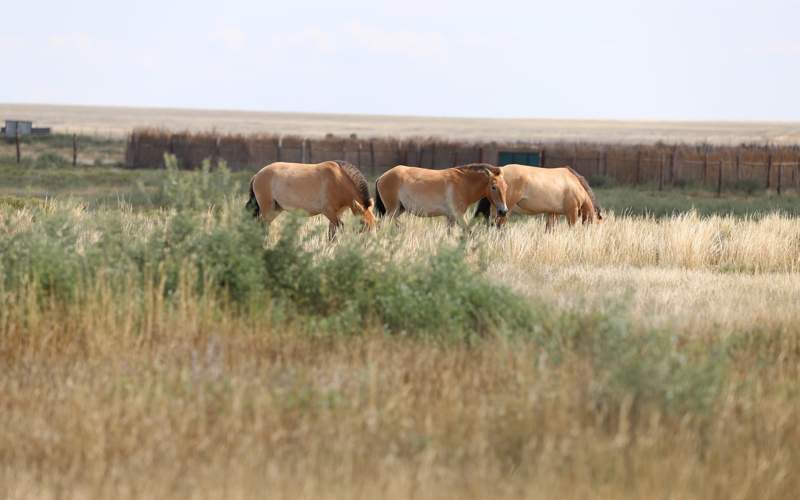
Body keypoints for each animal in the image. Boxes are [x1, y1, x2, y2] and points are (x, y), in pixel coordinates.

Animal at [247, 160, 376, 238]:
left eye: (375, 222)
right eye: (363, 222)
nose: (369, 242)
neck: (338, 180)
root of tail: (257, 175)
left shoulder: (337, 214)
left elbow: (332, 234)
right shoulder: (329, 212)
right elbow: (339, 229)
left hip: (275, 210)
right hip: (267, 209)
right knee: (262, 226)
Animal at [374, 163, 510, 229]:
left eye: (506, 187)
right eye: (493, 187)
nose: (503, 211)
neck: (463, 183)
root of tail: (381, 177)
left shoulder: (451, 218)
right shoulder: (458, 216)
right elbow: (468, 232)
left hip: (399, 209)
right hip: (392, 210)